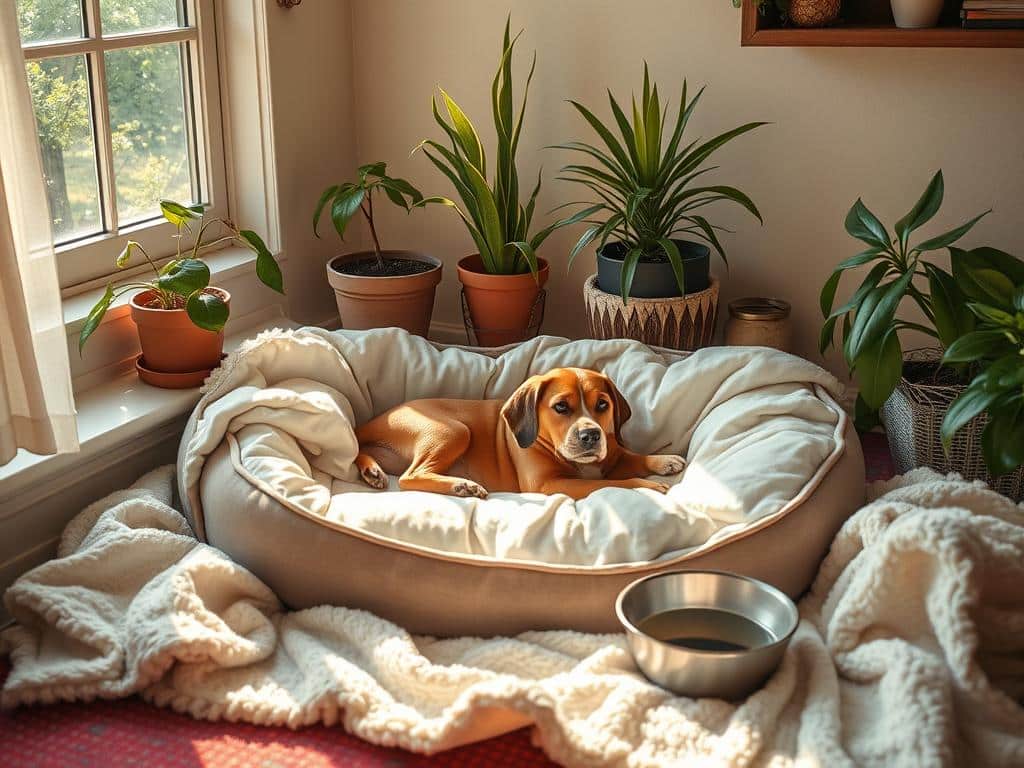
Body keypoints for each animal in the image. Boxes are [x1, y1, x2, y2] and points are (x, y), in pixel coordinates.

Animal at [354, 368, 688, 501]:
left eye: (603, 405)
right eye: (561, 407)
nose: (592, 436)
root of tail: (377, 419)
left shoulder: (611, 453)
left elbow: (629, 455)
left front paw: (663, 460)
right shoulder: (549, 485)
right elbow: (614, 483)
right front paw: (647, 485)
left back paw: (373, 471)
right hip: (453, 430)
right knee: (409, 477)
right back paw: (461, 486)